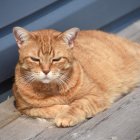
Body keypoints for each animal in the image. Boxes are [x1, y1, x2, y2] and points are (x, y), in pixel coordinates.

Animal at [12, 26, 140, 127]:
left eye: (56, 59)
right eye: (35, 59)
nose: (46, 71)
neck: (53, 89)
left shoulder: (95, 96)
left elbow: (78, 104)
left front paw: (66, 115)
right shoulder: (24, 109)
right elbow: (48, 109)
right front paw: (63, 108)